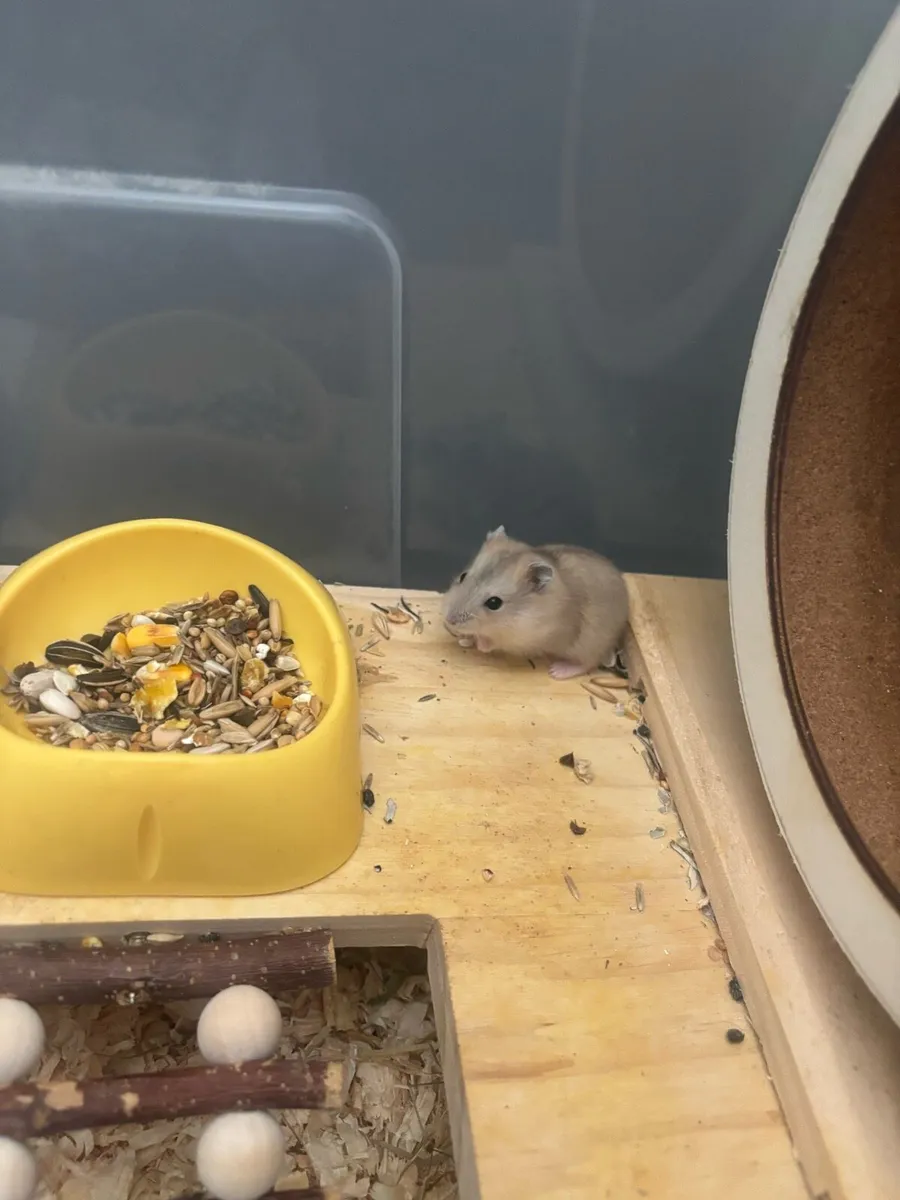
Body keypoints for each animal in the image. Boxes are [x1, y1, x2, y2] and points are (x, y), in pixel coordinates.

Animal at [442, 526, 629, 679]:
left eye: (494, 603)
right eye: (463, 576)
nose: (449, 620)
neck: (520, 612)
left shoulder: (528, 639)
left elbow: (492, 642)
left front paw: (480, 643)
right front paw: (465, 639)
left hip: (589, 645)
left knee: (589, 663)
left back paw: (557, 671)